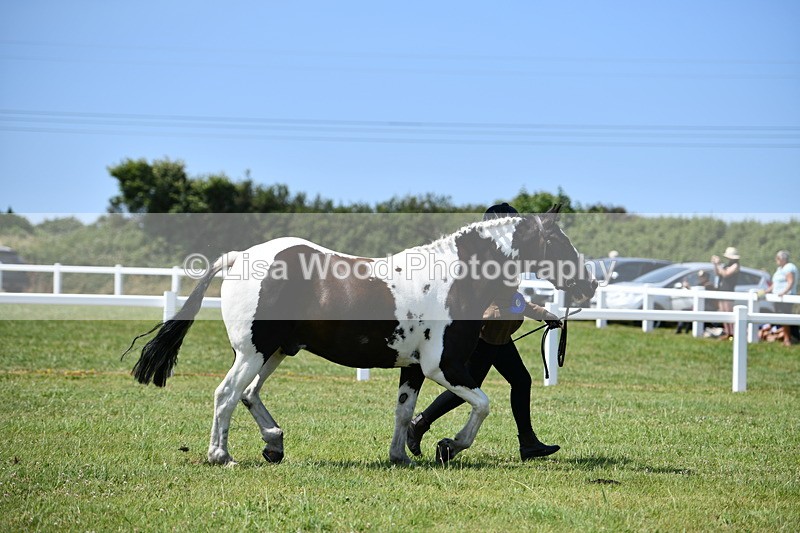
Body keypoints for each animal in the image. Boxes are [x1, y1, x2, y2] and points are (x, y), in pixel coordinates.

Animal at [127, 207, 596, 466]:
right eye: (558, 241)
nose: (588, 286)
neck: (456, 279)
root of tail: (240, 256)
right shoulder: (442, 366)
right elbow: (482, 404)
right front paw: (449, 446)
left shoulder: (415, 368)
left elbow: (405, 413)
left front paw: (401, 455)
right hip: (252, 351)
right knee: (226, 394)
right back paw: (221, 456)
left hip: (274, 351)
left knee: (248, 393)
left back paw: (274, 444)